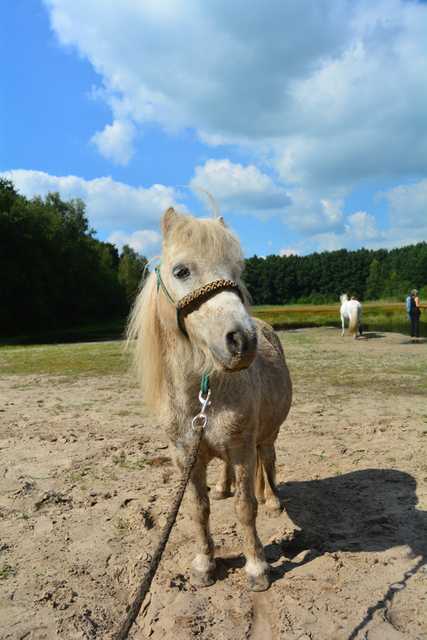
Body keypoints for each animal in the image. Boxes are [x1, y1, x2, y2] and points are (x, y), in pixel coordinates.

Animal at [127, 205, 292, 592]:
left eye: (236, 273)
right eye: (181, 271)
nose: (243, 341)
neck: (200, 397)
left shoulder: (244, 449)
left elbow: (246, 508)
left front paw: (256, 568)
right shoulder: (185, 456)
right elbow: (198, 509)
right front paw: (204, 563)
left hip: (267, 436)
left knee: (269, 462)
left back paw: (273, 500)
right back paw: (222, 487)